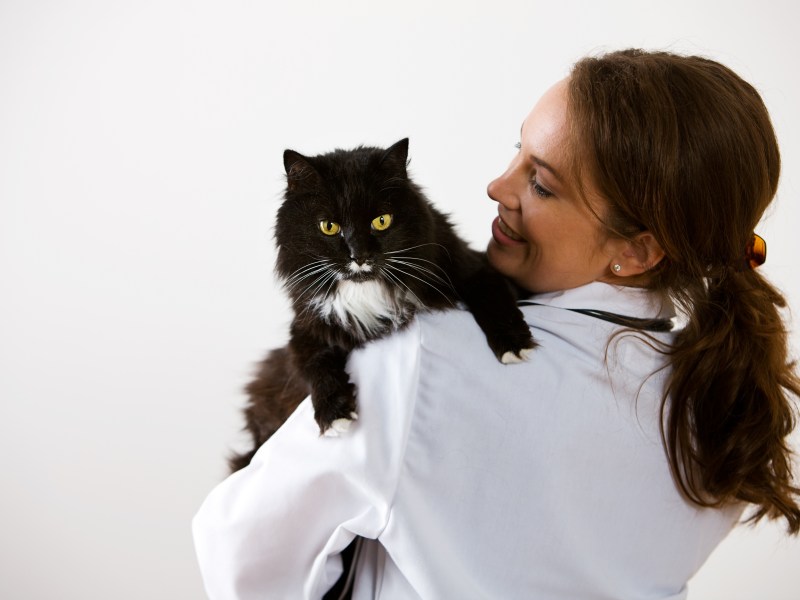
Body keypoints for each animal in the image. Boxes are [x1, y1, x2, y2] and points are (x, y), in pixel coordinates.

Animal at [228, 138, 536, 472]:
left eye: (381, 221)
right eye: (329, 226)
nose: (359, 255)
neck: (365, 292)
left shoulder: (475, 269)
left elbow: (493, 298)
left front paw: (514, 345)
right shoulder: (306, 326)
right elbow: (313, 363)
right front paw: (334, 414)